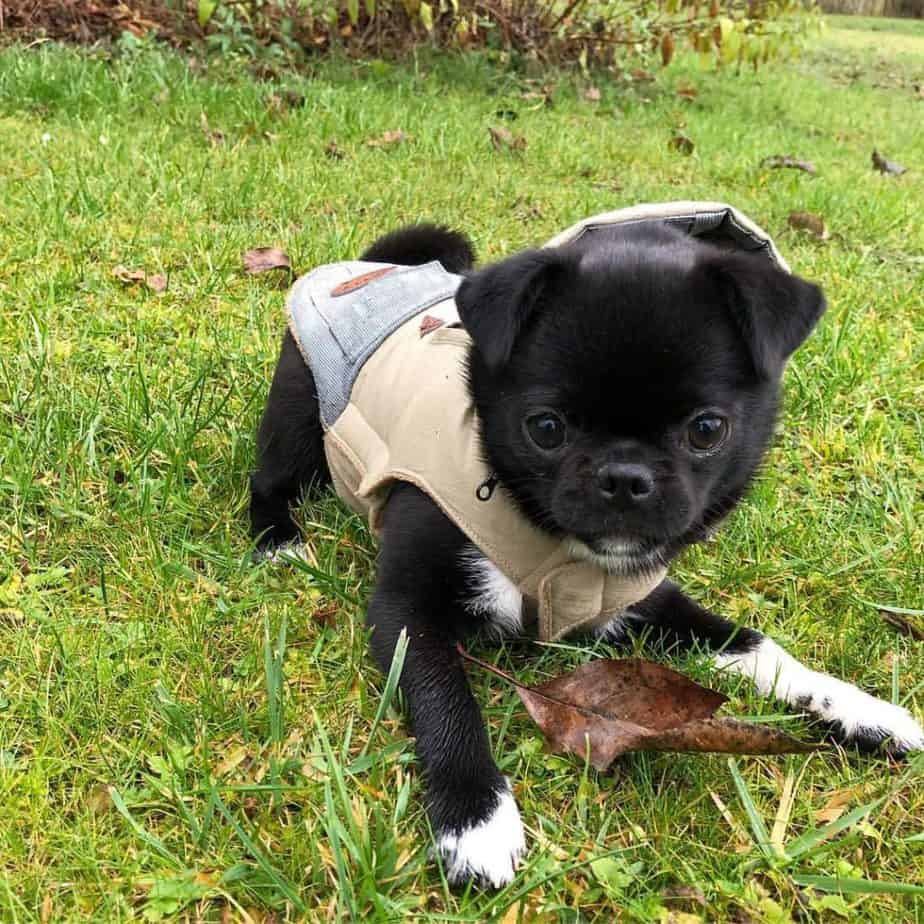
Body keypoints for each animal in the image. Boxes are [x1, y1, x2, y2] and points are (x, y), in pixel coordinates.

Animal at [249, 220, 920, 884]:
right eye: (545, 428)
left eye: (707, 430)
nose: (625, 477)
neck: (554, 550)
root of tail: (375, 267)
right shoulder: (408, 611)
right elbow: (445, 698)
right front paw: (476, 817)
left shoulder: (644, 600)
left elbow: (757, 646)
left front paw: (860, 710)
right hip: (299, 409)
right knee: (269, 479)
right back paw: (281, 543)